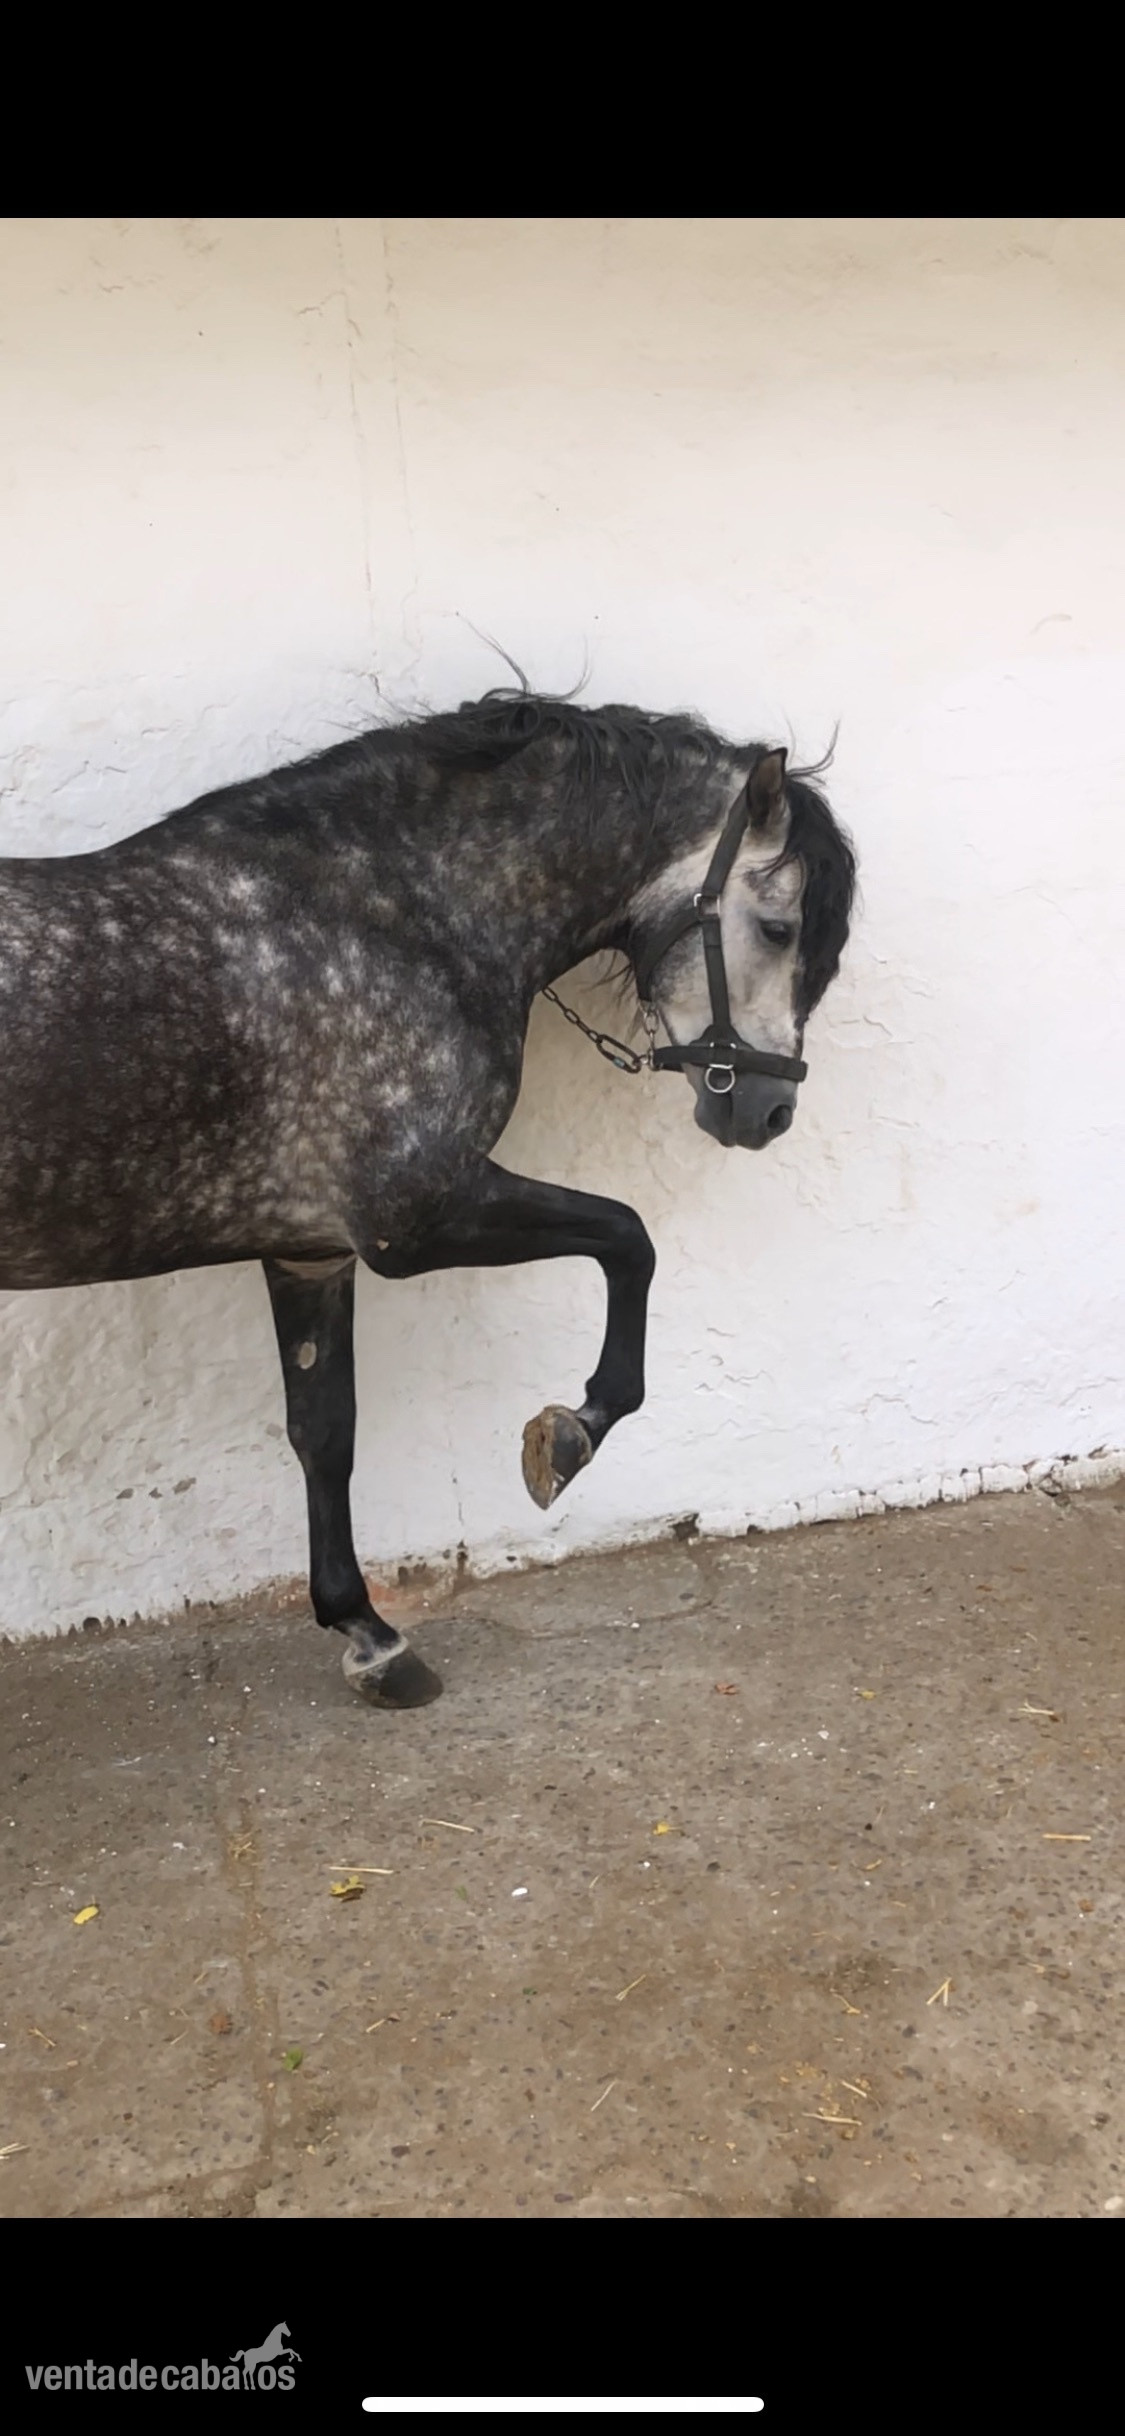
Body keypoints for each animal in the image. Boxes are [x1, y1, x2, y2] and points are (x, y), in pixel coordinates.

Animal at [0, 689, 856, 1709]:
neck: (392, 919)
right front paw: (570, 1434)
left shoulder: (309, 1251)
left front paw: (369, 1636)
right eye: (777, 928)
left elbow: (324, 1433)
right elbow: (627, 1237)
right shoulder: (415, 1220)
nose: (767, 1112)